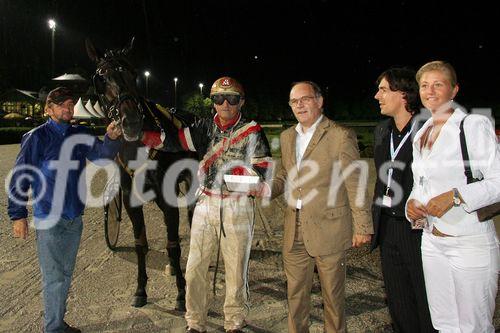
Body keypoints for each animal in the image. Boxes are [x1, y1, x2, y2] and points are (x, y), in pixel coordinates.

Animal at [85, 38, 196, 308]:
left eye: (133, 74)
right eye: (101, 77)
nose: (132, 121)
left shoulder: (168, 200)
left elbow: (173, 245)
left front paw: (181, 294)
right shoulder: (130, 200)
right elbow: (140, 244)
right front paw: (141, 290)